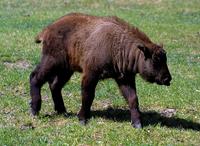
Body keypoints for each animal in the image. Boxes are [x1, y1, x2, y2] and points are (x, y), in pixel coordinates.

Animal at [29, 13, 172, 128]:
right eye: (155, 59)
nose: (167, 78)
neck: (118, 44)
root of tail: (48, 29)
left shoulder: (125, 79)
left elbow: (133, 99)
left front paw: (137, 123)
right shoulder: (91, 75)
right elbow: (87, 96)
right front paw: (82, 119)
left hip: (66, 70)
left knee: (55, 85)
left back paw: (62, 111)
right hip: (51, 62)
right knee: (35, 77)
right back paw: (35, 110)